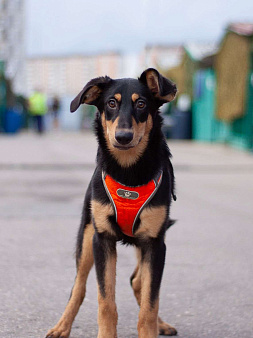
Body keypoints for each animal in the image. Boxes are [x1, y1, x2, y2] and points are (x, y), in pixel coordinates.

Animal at [47, 67, 178, 336]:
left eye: (141, 103)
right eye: (111, 103)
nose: (123, 137)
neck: (128, 172)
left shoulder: (155, 243)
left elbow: (150, 304)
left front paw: (151, 328)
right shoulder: (102, 239)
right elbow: (105, 302)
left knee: (138, 282)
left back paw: (161, 324)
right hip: (86, 237)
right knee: (78, 287)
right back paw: (61, 327)